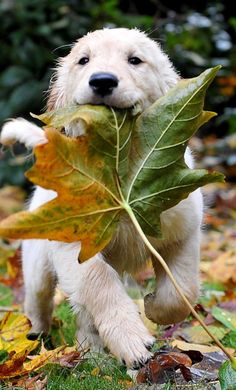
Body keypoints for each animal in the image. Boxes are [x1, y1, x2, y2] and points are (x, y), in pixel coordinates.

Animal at [0, 29, 203, 368]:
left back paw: (91, 351)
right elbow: (99, 284)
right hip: (37, 264)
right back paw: (38, 341)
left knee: (83, 314)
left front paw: (154, 307)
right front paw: (132, 340)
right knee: (40, 303)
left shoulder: (183, 230)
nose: (103, 81)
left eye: (135, 60)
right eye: (84, 60)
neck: (119, 169)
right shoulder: (75, 247)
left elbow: (182, 290)